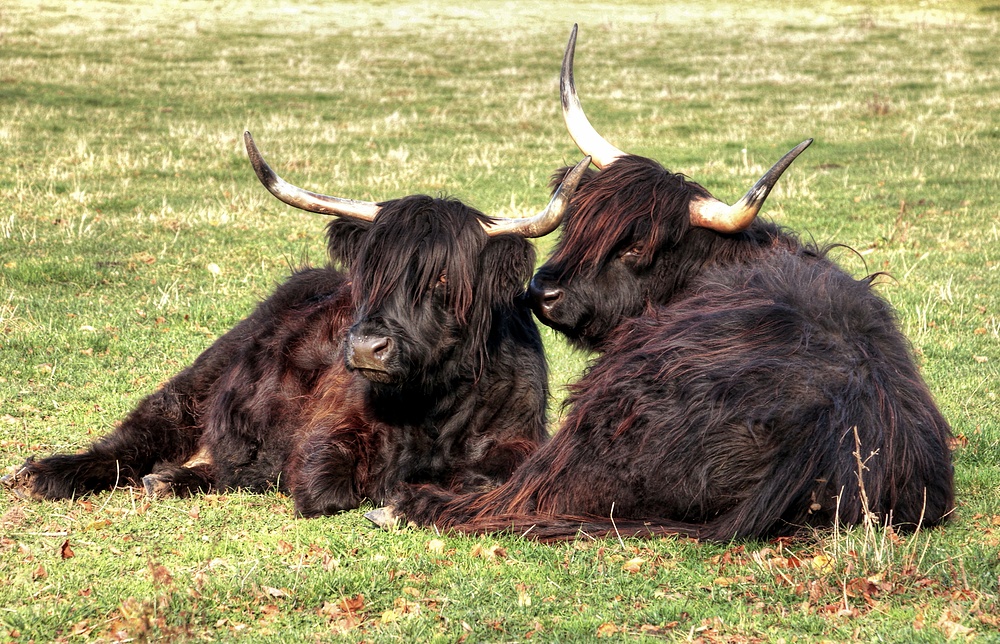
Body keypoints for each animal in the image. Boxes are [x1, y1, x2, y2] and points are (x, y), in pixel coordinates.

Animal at [3, 131, 588, 520]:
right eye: (368, 272)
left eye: (443, 277)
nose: (366, 348)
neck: (436, 404)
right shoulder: (325, 437)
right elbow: (323, 487)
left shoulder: (519, 440)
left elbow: (486, 477)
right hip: (194, 384)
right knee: (136, 441)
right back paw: (43, 475)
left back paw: (171, 479)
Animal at [378, 28, 956, 544]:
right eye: (579, 224)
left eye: (637, 249)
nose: (543, 293)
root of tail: (817, 432)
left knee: (515, 494)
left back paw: (406, 503)